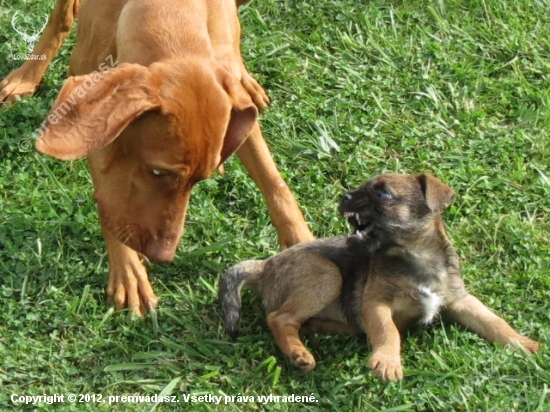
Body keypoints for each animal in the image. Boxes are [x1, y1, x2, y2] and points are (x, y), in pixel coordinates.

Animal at [1, 0, 314, 316]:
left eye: (198, 180)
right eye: (157, 172)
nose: (165, 256)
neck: (174, 12)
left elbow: (273, 181)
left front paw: (303, 247)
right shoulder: (93, 111)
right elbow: (109, 200)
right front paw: (128, 271)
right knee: (63, 15)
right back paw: (25, 76)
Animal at [218, 173, 540, 380]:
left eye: (382, 194)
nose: (344, 196)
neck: (417, 259)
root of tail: (265, 266)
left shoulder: (461, 301)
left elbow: (493, 321)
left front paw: (522, 343)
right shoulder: (376, 303)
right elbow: (388, 331)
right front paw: (387, 361)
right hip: (327, 274)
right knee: (279, 318)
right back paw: (299, 354)